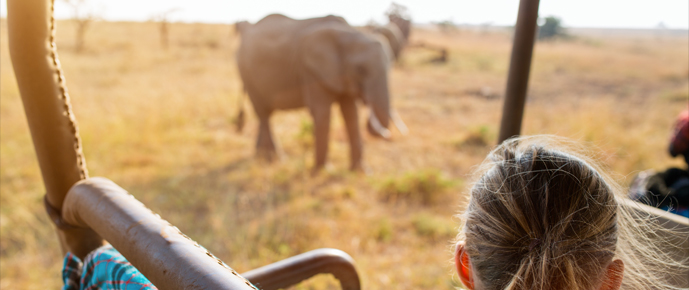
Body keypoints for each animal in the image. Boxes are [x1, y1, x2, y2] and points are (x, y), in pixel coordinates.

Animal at [236, 13, 406, 172]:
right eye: (360, 70)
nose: (388, 134)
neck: (348, 33)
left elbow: (351, 113)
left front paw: (361, 171)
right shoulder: (310, 70)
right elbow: (322, 112)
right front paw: (323, 170)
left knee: (264, 114)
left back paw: (260, 156)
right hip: (247, 73)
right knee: (263, 113)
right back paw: (274, 159)